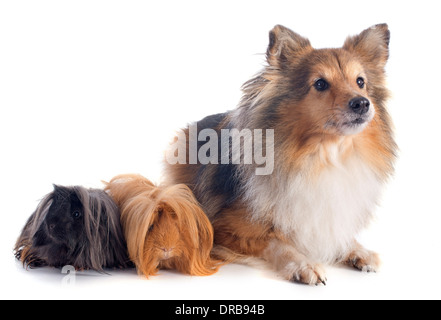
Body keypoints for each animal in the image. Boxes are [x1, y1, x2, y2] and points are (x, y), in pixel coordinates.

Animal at [164, 24, 396, 284]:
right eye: (320, 84)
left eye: (360, 81)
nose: (362, 103)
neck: (325, 156)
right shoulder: (226, 229)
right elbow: (277, 242)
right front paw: (304, 264)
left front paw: (357, 250)